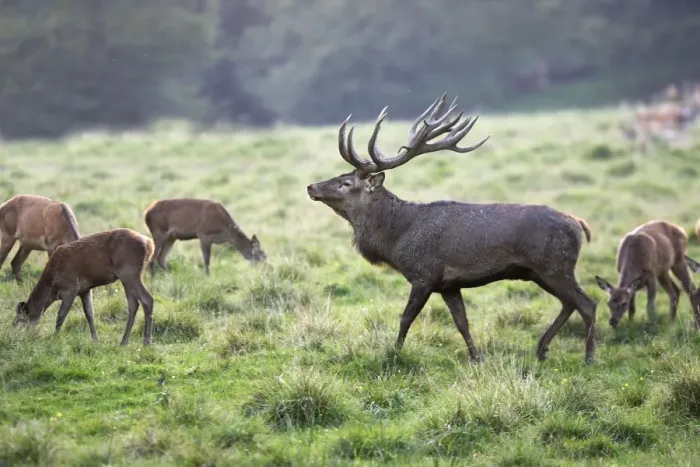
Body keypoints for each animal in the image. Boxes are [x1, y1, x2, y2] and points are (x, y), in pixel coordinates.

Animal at [13, 228, 155, 346]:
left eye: (21, 319)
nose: (16, 334)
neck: (52, 285)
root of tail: (149, 244)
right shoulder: (85, 290)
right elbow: (89, 314)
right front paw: (95, 341)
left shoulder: (70, 288)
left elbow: (61, 315)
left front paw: (55, 337)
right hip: (127, 278)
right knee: (133, 304)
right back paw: (123, 342)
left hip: (130, 272)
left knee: (147, 299)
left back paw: (146, 342)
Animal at [306, 93, 598, 363]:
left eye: (345, 183)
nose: (311, 186)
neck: (395, 237)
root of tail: (579, 223)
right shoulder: (448, 284)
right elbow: (461, 322)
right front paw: (476, 357)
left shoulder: (424, 274)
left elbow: (405, 318)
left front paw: (394, 353)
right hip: (540, 272)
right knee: (569, 303)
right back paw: (541, 348)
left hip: (555, 265)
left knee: (587, 304)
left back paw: (588, 357)